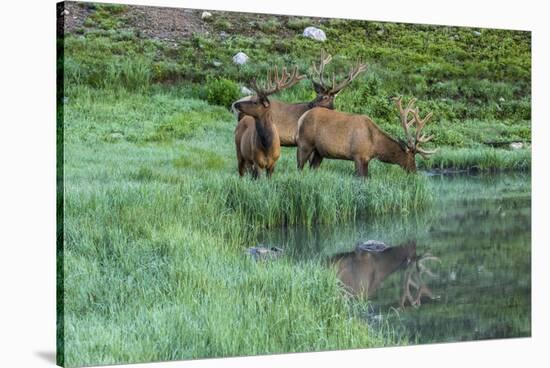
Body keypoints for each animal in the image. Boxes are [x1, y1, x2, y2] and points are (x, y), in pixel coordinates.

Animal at [298, 95, 440, 175]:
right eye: (412, 158)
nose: (414, 172)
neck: (374, 145)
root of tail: (301, 118)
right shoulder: (358, 155)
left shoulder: (366, 159)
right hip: (305, 144)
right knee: (299, 166)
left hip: (319, 152)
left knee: (312, 168)